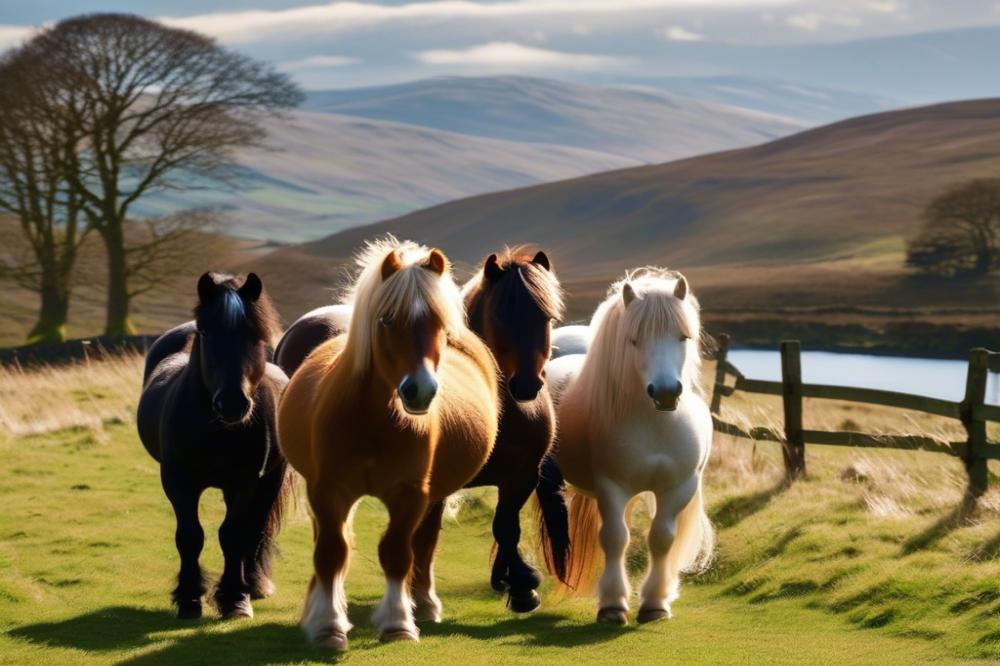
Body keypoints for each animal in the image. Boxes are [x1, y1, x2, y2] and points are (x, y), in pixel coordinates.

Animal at [135, 270, 290, 616]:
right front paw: (189, 598)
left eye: (256, 335)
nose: (232, 402)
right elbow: (189, 536)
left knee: (256, 529)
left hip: (271, 480)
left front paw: (235, 598)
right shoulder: (178, 482)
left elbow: (233, 536)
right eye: (206, 332)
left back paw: (254, 585)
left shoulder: (243, 483)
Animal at [278, 239, 500, 648]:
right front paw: (327, 625)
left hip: (435, 495)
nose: (420, 390)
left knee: (424, 544)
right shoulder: (328, 489)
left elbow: (397, 552)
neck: (373, 420)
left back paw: (423, 605)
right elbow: (331, 551)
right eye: (386, 320)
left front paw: (398, 622)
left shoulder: (410, 493)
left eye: (440, 325)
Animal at [544, 268, 716, 624]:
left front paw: (655, 603)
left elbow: (661, 538)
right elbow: (615, 538)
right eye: (634, 340)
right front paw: (612, 605)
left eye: (683, 337)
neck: (656, 425)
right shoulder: (612, 486)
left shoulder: (678, 488)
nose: (666, 393)